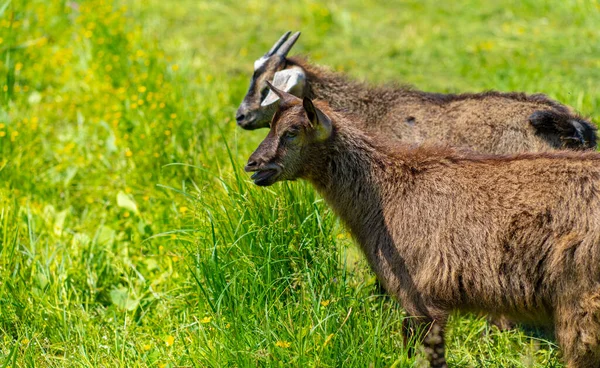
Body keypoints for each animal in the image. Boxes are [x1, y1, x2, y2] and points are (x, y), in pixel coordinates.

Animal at [244, 83, 600, 368]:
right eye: (270, 126)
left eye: (292, 132)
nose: (253, 165)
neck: (388, 191)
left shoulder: (420, 296)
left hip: (580, 301)